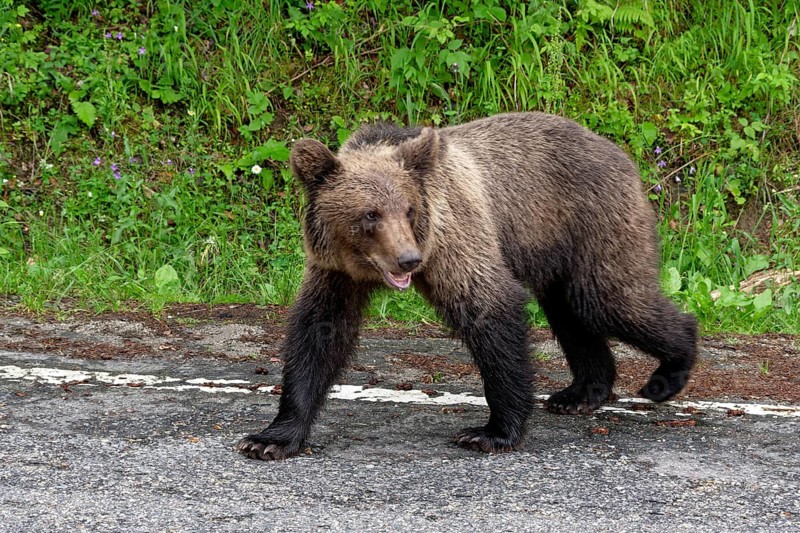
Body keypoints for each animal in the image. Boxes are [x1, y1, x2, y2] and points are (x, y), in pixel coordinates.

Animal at [236, 112, 698, 460]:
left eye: (408, 209)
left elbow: (489, 308)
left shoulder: (454, 235)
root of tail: (620, 153)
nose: (408, 260)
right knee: (570, 312)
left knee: (607, 300)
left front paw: (491, 432)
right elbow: (320, 331)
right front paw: (270, 438)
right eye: (370, 215)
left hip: (592, 221)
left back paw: (668, 372)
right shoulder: (335, 270)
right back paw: (580, 392)